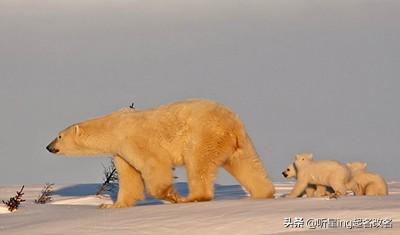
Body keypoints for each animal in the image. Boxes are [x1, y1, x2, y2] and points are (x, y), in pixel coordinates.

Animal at [45, 98, 274, 207]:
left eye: (59, 136)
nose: (48, 147)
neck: (114, 126)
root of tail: (231, 124)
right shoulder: (121, 151)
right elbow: (129, 178)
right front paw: (111, 206)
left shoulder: (134, 140)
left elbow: (154, 163)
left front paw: (170, 194)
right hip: (240, 142)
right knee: (248, 164)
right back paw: (264, 193)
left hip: (202, 136)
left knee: (198, 165)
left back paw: (191, 197)